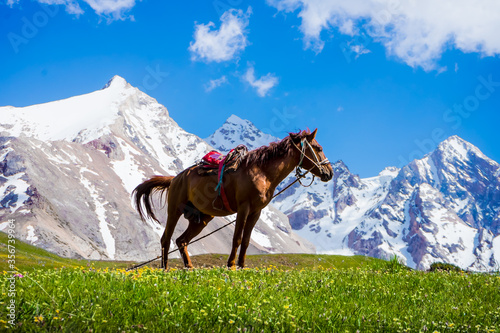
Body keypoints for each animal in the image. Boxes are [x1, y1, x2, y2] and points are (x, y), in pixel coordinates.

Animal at [135, 128, 334, 268]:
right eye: (319, 148)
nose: (329, 172)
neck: (262, 173)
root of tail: (175, 178)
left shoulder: (256, 212)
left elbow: (245, 241)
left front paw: (242, 266)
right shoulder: (243, 208)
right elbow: (237, 238)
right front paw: (230, 265)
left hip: (201, 219)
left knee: (181, 241)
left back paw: (189, 267)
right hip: (174, 210)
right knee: (166, 239)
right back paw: (165, 268)